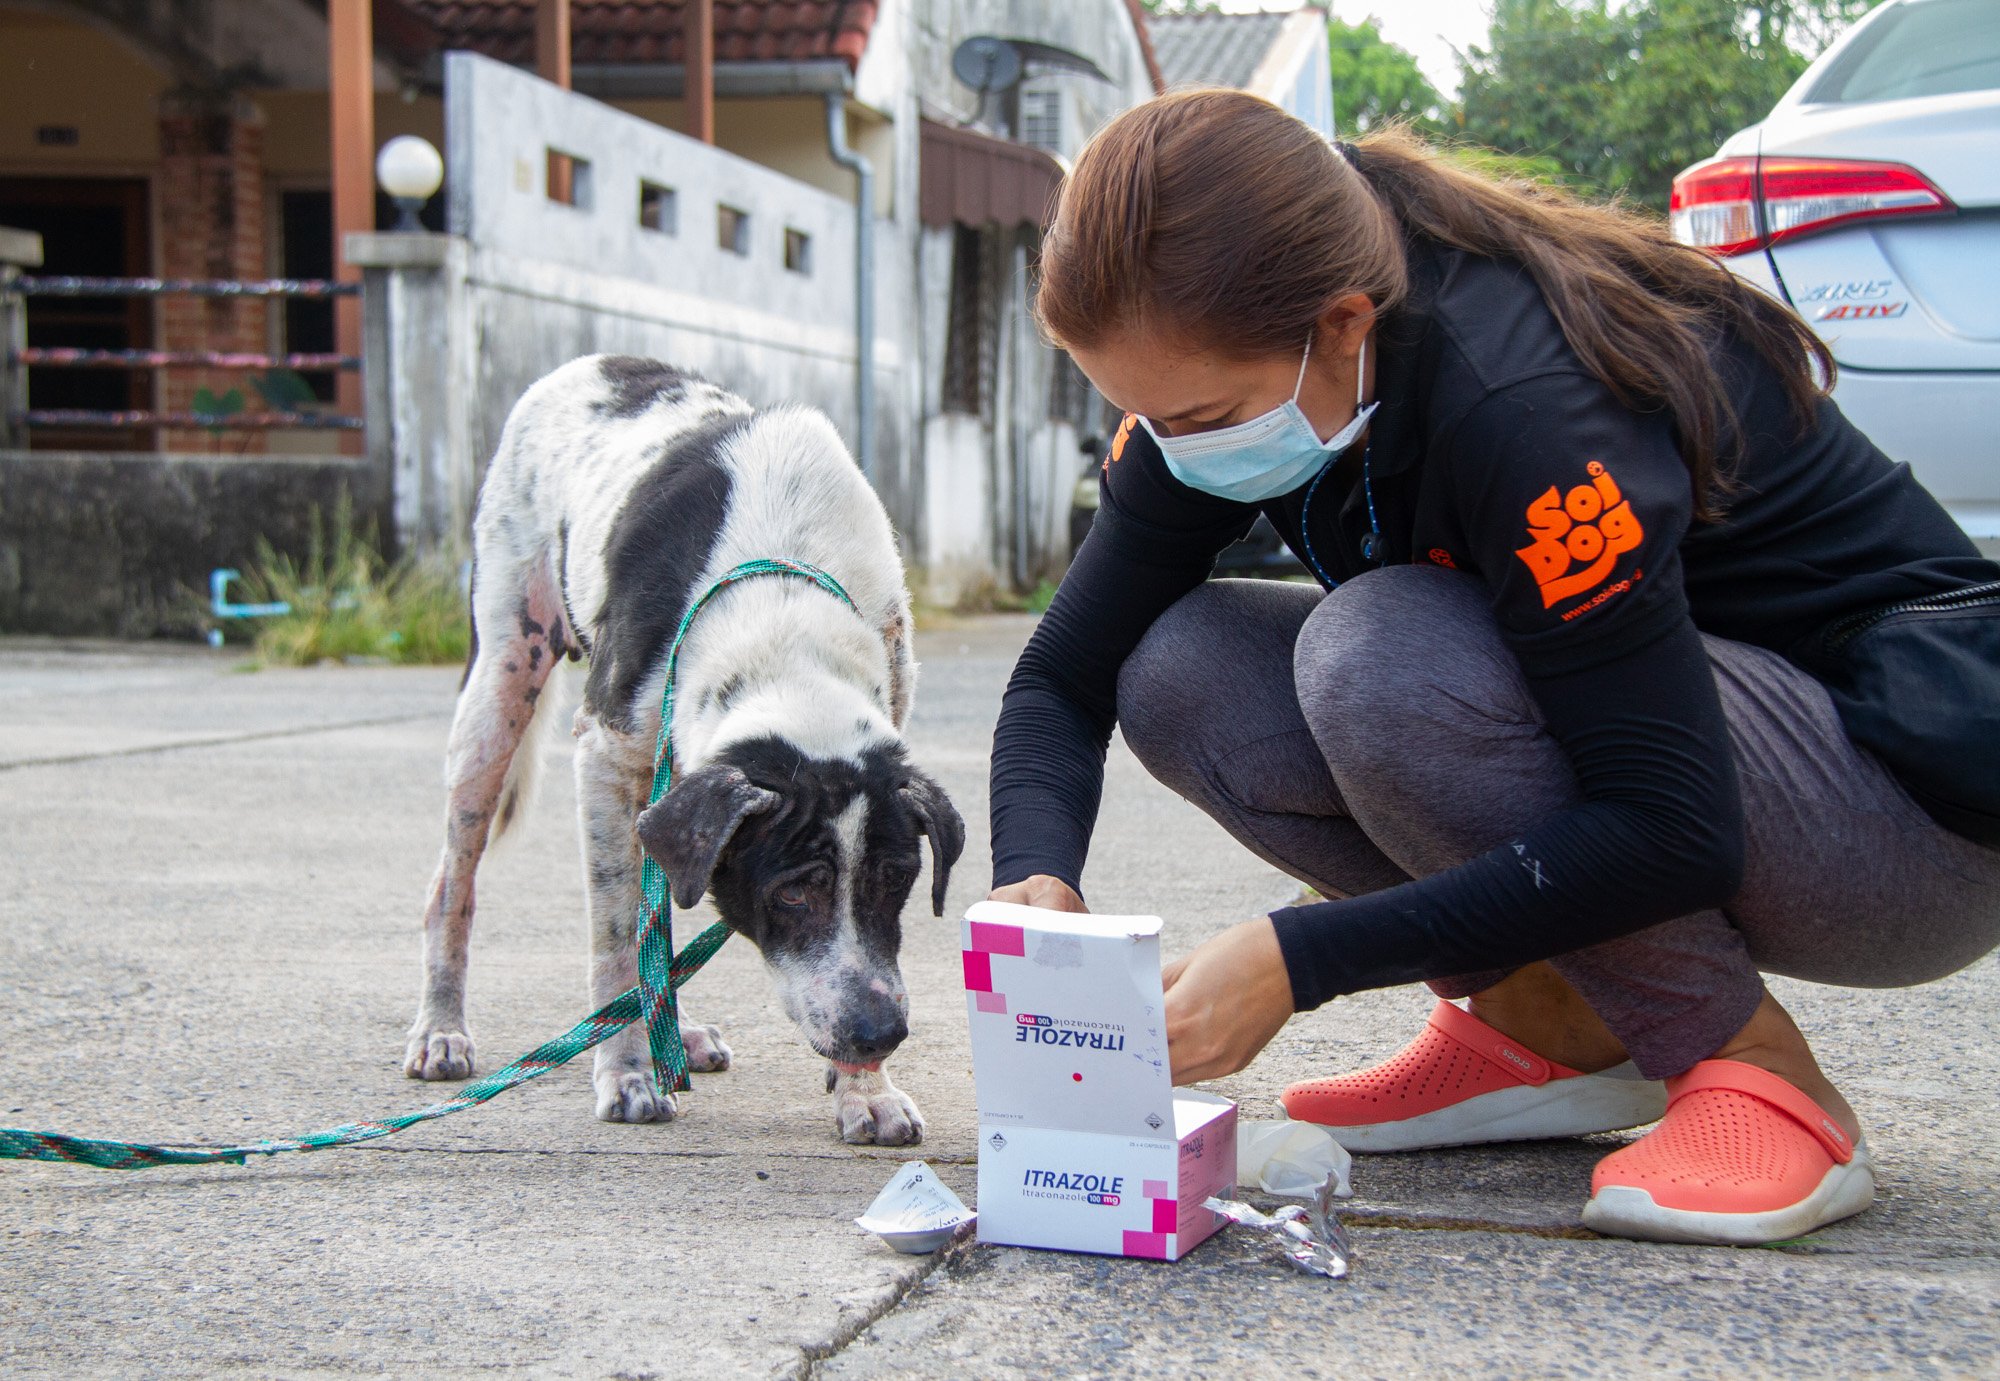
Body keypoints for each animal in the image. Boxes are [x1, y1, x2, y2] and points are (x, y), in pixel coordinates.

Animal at [404, 354, 960, 1136]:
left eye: (897, 877)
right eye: (793, 892)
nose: (879, 1033)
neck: (783, 620)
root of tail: (598, 362)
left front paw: (867, 1090)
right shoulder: (605, 755)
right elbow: (615, 938)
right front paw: (628, 1073)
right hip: (498, 688)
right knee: (453, 886)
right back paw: (441, 1029)